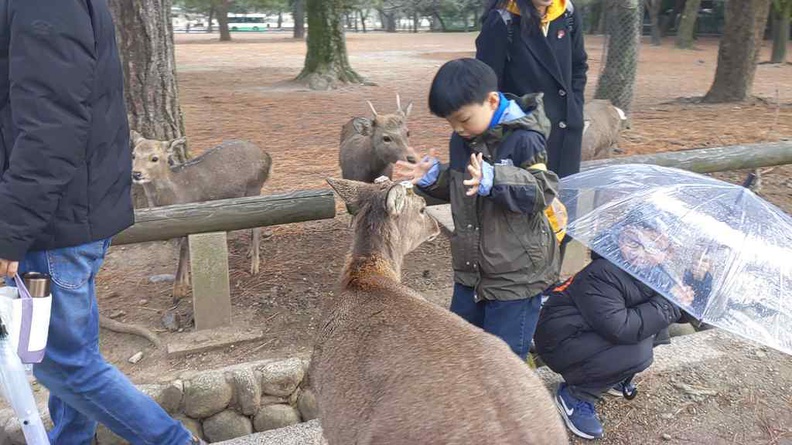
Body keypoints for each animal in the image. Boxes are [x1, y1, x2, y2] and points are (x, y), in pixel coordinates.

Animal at [131, 130, 272, 300]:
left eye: (154, 158)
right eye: (133, 155)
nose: (136, 174)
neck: (173, 195)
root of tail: (267, 156)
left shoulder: (189, 219)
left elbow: (183, 251)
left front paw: (178, 291)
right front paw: (185, 283)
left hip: (254, 187)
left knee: (257, 225)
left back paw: (254, 266)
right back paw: (250, 252)